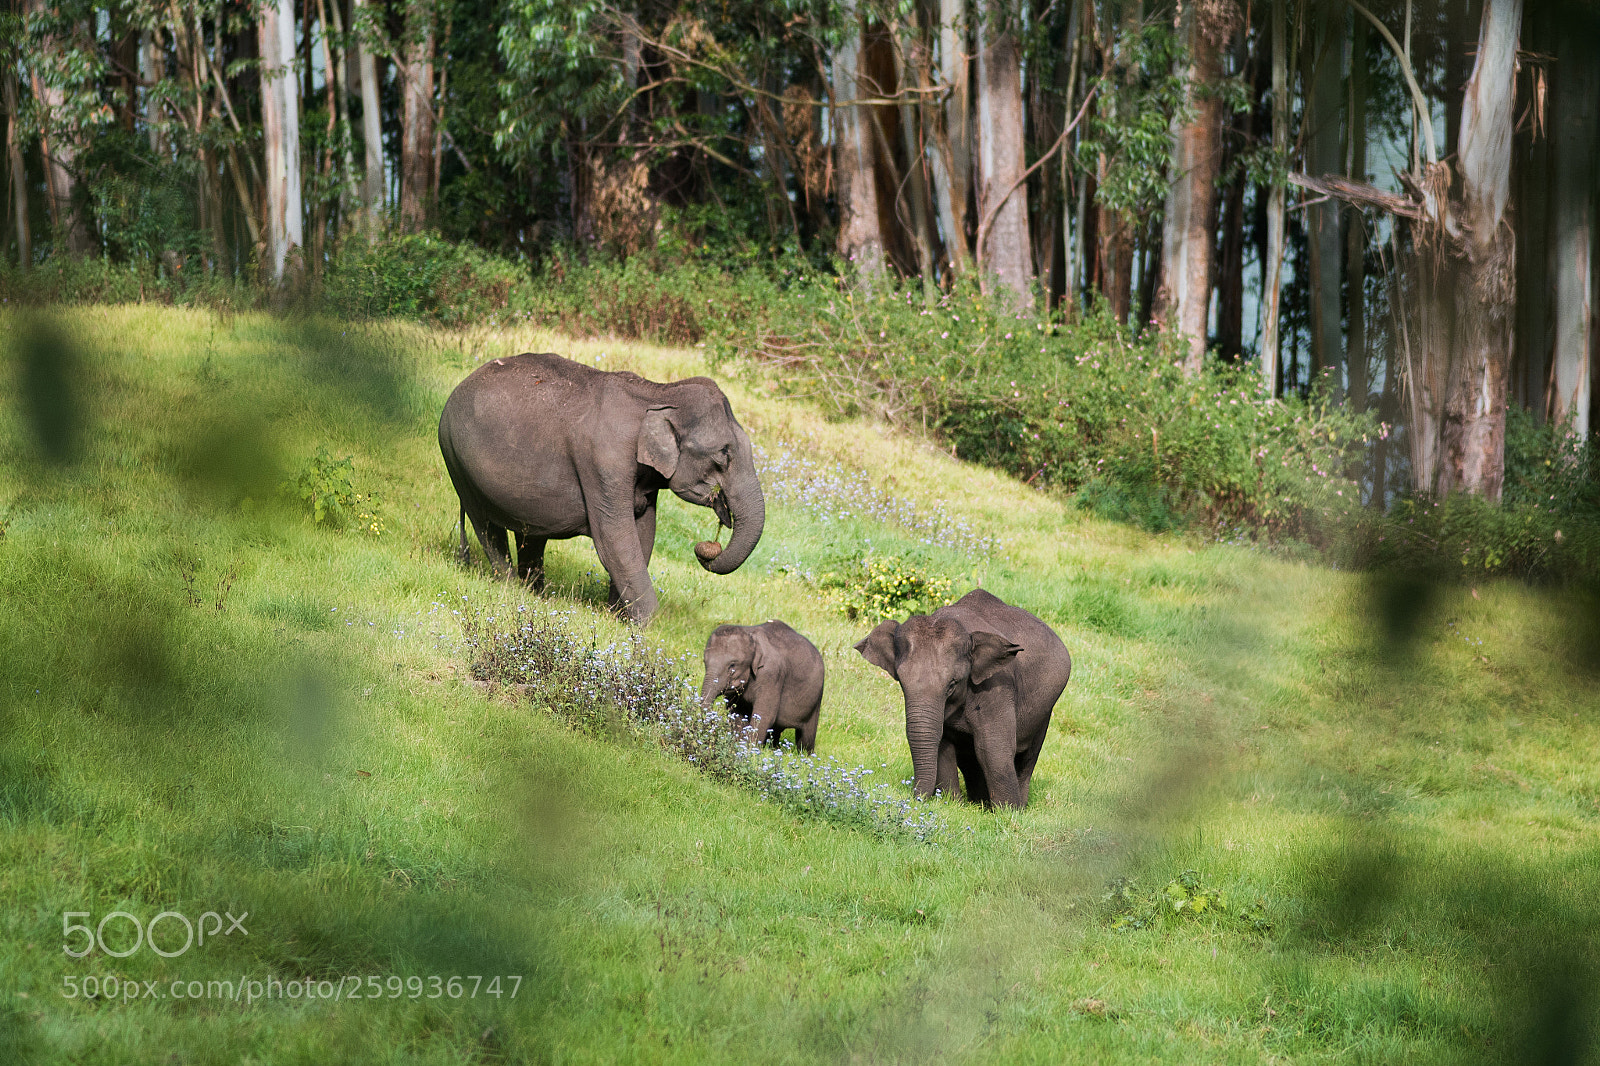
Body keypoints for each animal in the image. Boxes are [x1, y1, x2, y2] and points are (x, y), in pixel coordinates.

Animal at [438, 352, 765, 623]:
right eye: (723, 457)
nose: (704, 549)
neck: (658, 391)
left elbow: (643, 534)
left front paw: (618, 618)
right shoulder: (604, 462)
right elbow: (615, 541)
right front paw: (649, 627)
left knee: (531, 535)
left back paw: (534, 594)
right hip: (456, 458)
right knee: (486, 526)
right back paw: (510, 587)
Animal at [700, 621, 824, 753]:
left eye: (732, 665)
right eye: (704, 662)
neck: (751, 637)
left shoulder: (771, 675)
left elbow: (764, 715)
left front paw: (749, 750)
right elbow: (736, 712)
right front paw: (738, 745)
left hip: (816, 698)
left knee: (806, 736)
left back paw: (804, 754)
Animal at [855, 588, 1071, 808]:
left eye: (952, 684)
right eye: (900, 680)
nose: (917, 799)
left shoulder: (996, 686)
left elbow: (992, 747)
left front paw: (1008, 811)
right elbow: (944, 744)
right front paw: (952, 804)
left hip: (1045, 711)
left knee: (1027, 756)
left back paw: (1016, 806)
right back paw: (980, 803)